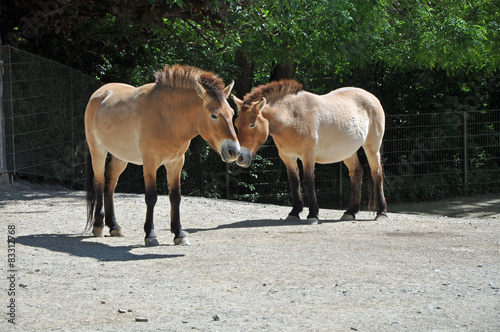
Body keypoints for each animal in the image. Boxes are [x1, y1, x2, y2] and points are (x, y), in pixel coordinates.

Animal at [85, 65, 240, 246]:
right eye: (214, 115)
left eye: (231, 112)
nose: (234, 151)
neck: (167, 117)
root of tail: (100, 93)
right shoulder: (150, 163)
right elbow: (151, 197)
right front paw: (150, 235)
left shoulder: (176, 163)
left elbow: (175, 197)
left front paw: (179, 234)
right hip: (98, 150)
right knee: (99, 182)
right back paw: (98, 226)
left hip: (121, 156)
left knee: (110, 181)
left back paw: (115, 226)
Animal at [232, 79, 388, 223]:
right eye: (236, 124)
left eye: (252, 124)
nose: (240, 158)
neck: (292, 117)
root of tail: (372, 97)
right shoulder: (288, 157)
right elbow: (294, 182)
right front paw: (294, 213)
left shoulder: (308, 156)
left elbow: (308, 182)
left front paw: (313, 215)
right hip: (348, 152)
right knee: (356, 173)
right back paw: (350, 212)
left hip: (372, 147)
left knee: (377, 173)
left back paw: (381, 213)